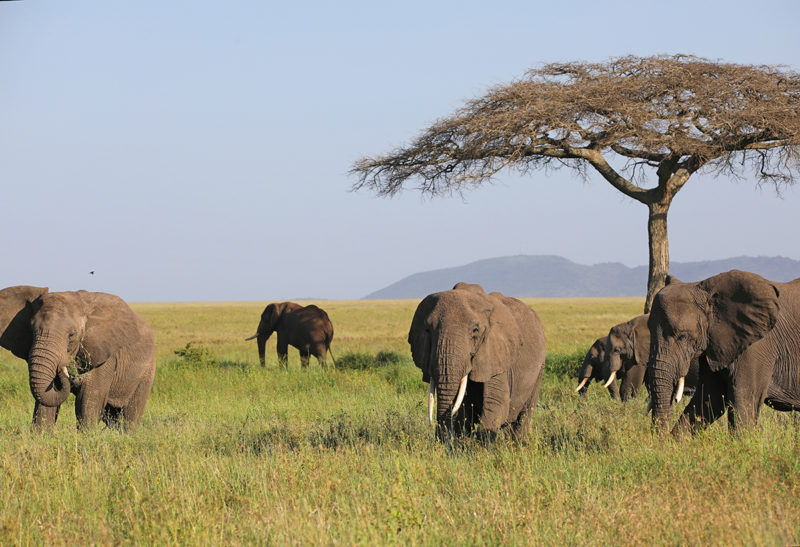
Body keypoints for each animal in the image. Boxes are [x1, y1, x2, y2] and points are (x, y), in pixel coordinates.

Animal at [25, 288, 155, 430]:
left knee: (130, 415)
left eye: (72, 335)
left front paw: (88, 434)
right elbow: (45, 404)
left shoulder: (104, 354)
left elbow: (89, 399)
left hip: (146, 371)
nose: (62, 370)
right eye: (31, 331)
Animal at [410, 282, 548, 440]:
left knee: (525, 414)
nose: (439, 436)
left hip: (540, 368)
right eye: (427, 330)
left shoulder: (495, 353)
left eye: (475, 330)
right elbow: (463, 409)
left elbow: (497, 403)